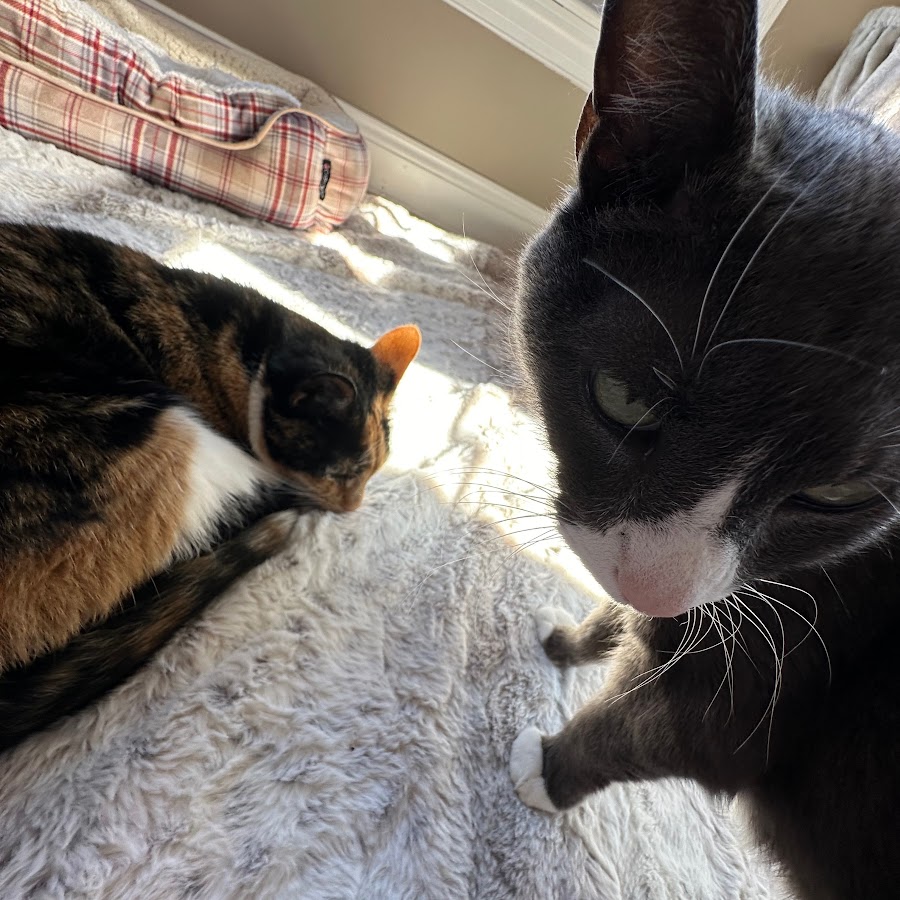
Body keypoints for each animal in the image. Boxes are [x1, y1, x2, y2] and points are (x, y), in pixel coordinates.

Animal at [508, 0, 900, 897]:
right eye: (626, 397)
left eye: (837, 497)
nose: (654, 585)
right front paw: (569, 637)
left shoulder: (783, 663)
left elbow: (658, 730)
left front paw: (544, 769)